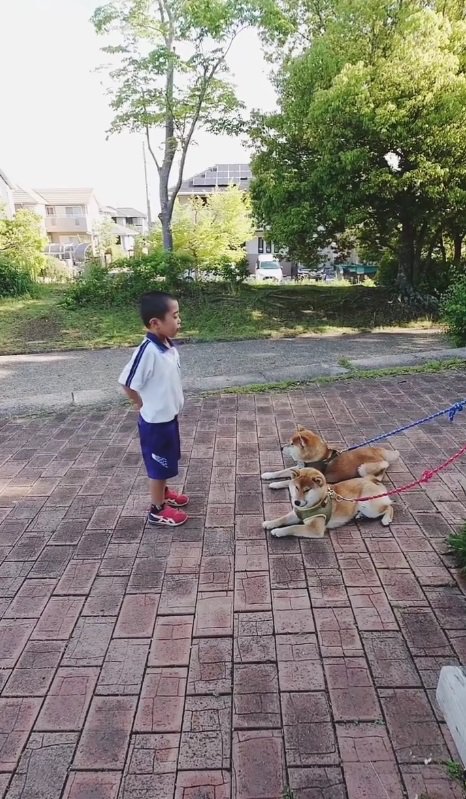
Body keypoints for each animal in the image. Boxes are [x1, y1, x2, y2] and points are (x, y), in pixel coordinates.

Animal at [260, 424, 398, 488]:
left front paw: (275, 484)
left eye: (291, 444)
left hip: (363, 468)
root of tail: (379, 452)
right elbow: (281, 472)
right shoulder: (299, 468)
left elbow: (288, 481)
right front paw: (268, 475)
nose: (281, 447)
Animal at [262, 466, 394, 540]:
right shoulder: (296, 514)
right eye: (296, 487)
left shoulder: (314, 528)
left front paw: (278, 531)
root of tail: (372, 480)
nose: (296, 502)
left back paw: (386, 519)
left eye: (307, 490)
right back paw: (359, 515)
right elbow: (282, 519)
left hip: (368, 506)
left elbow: (293, 527)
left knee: (389, 507)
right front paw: (270, 523)